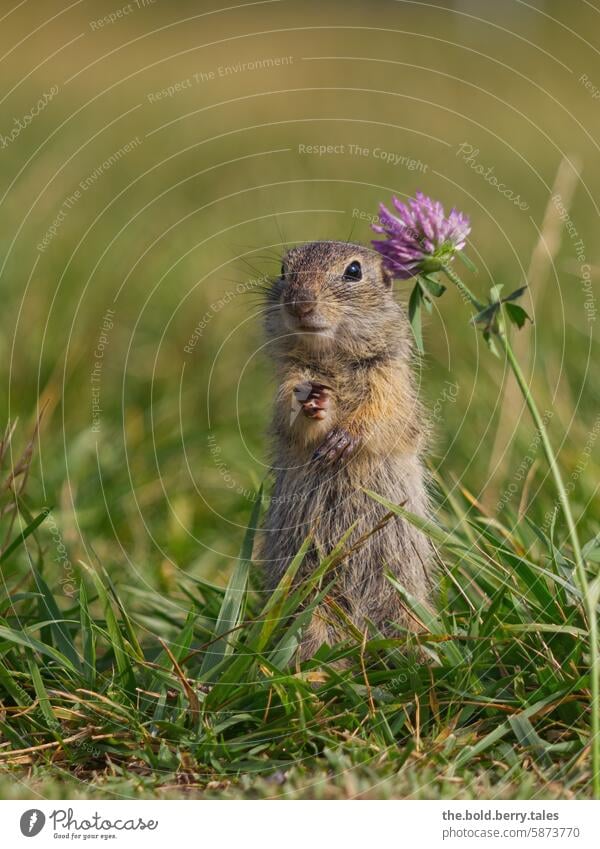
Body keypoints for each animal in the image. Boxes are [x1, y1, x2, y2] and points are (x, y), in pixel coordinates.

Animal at [258, 238, 432, 656]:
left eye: (353, 271)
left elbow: (381, 413)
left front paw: (344, 439)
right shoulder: (288, 378)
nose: (300, 303)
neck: (331, 357)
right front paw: (314, 403)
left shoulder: (389, 379)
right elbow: (290, 414)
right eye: (283, 270)